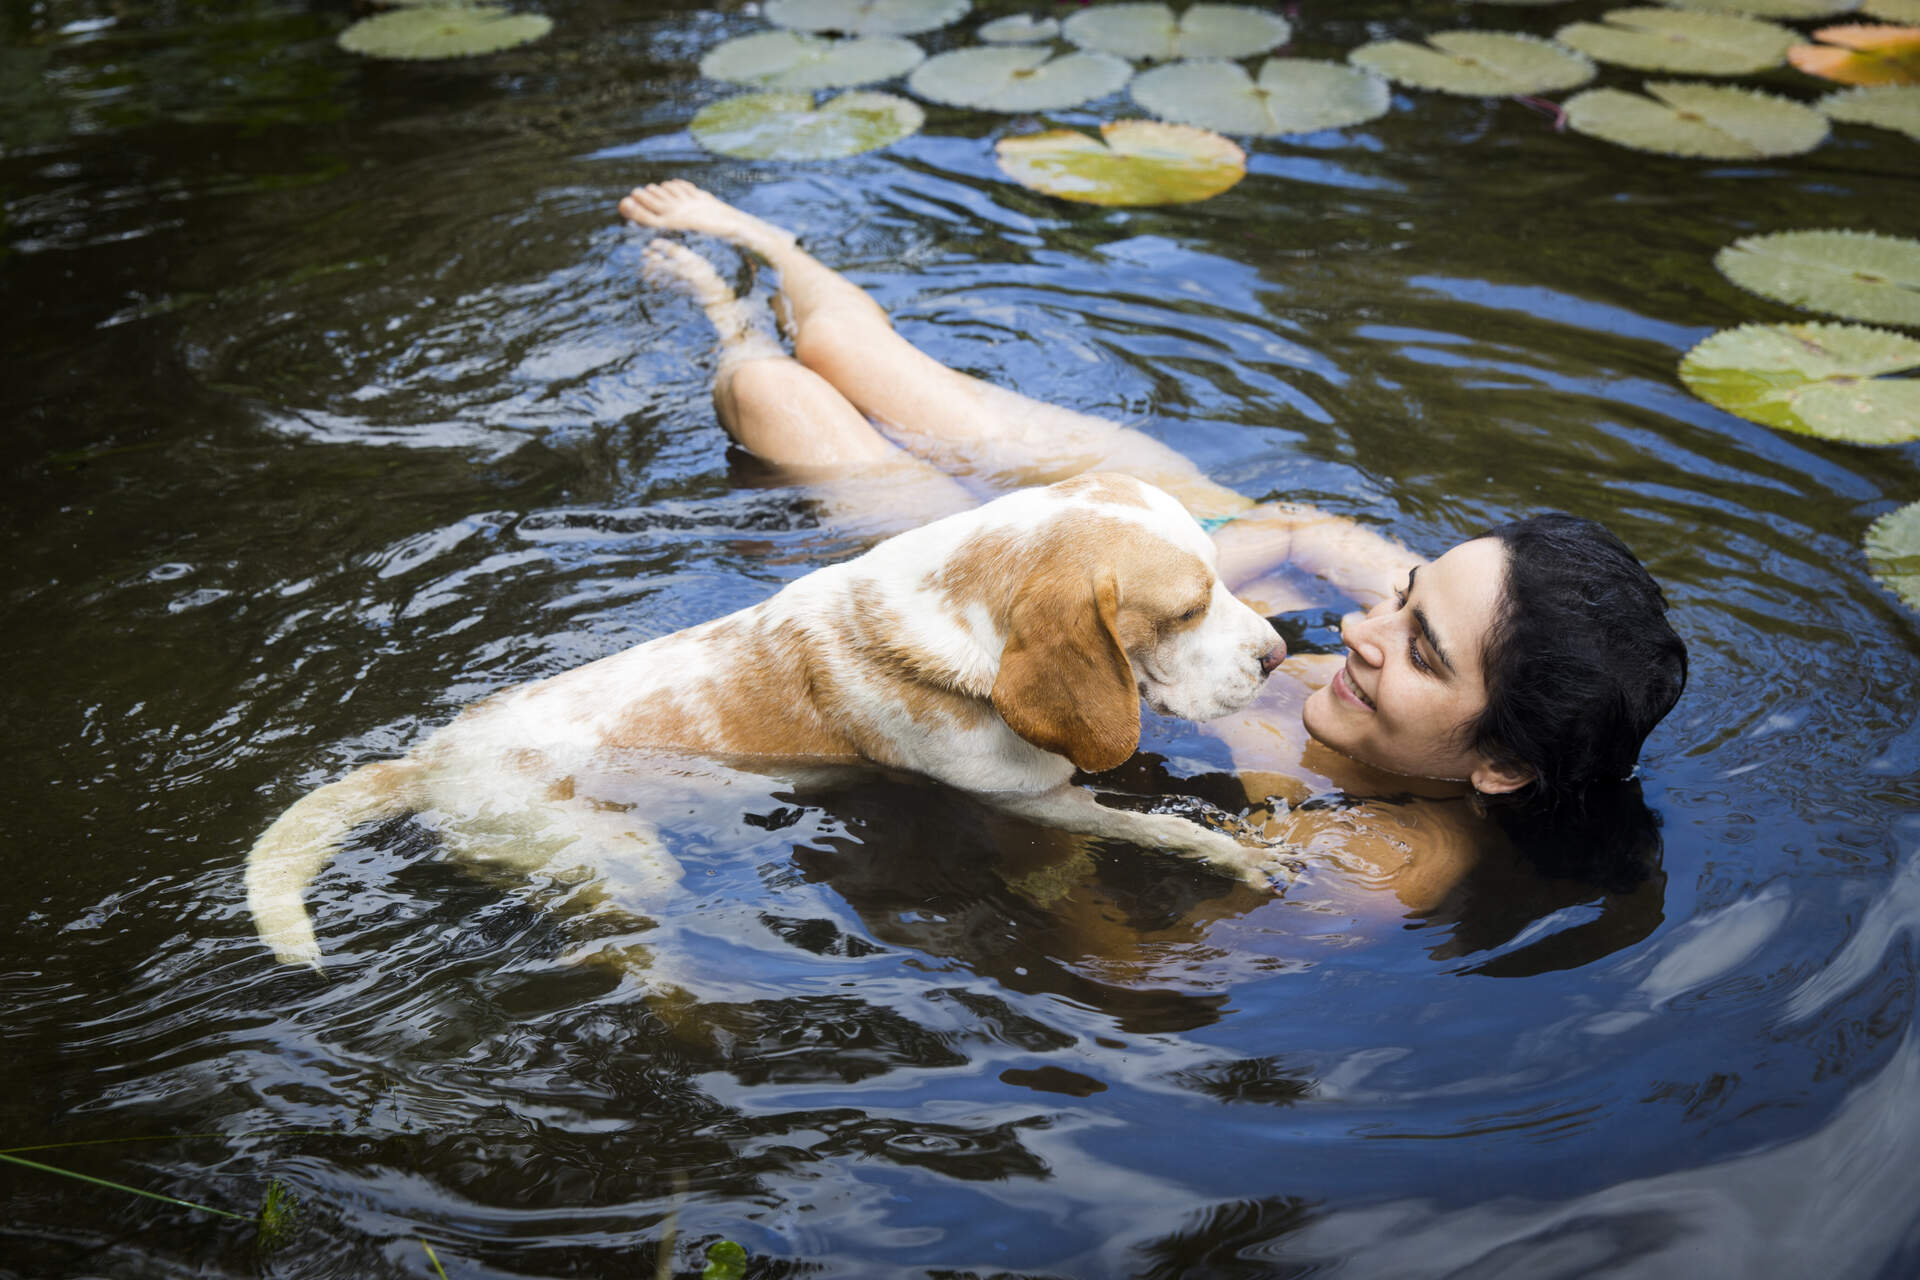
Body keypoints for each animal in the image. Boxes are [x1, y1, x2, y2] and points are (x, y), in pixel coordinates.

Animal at [243, 475, 1290, 967]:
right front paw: (1242, 860)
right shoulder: (1028, 801)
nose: (1280, 656)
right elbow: (1158, 829)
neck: (961, 617)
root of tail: (425, 761)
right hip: (622, 866)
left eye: (1220, 580)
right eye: (1187, 609)